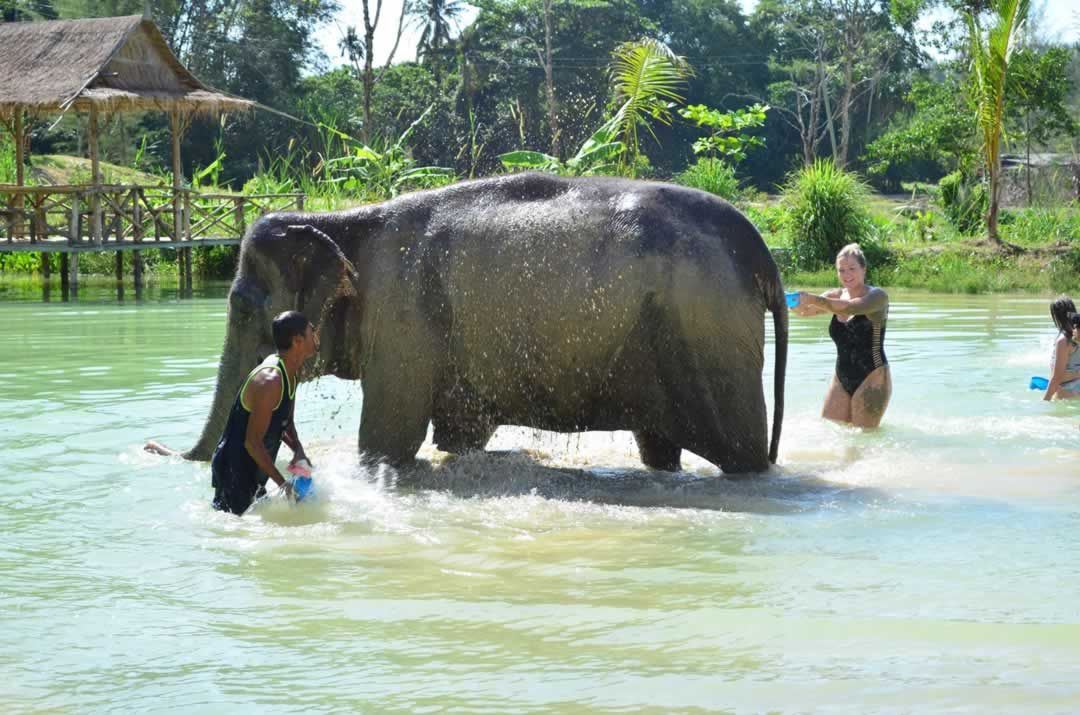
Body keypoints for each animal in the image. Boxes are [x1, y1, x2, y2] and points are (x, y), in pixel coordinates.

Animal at [185, 173, 790, 475]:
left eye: (242, 307)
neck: (343, 220)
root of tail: (763, 252)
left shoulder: (402, 318)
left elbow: (387, 443)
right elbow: (459, 437)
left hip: (709, 340)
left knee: (741, 455)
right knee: (659, 449)